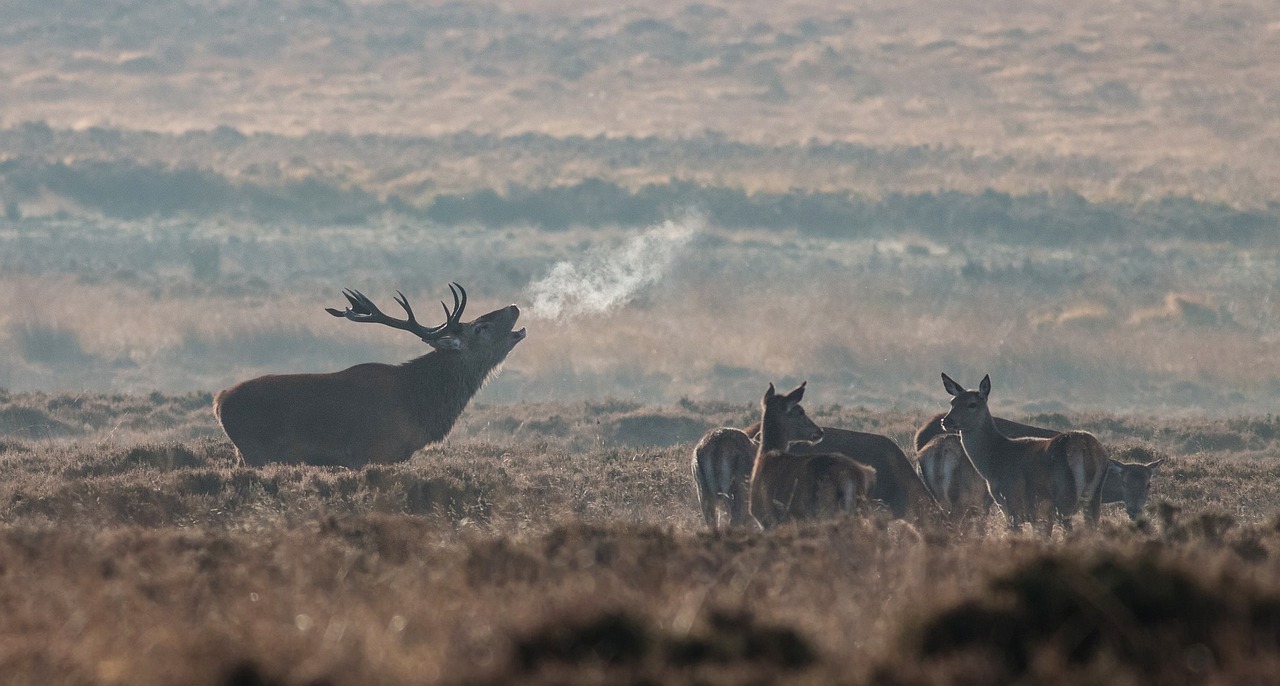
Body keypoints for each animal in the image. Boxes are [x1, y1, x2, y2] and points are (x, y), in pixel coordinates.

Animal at [215, 282, 524, 465]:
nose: (514, 306)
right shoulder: (373, 452)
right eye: (480, 327)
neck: (417, 407)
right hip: (255, 451)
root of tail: (219, 401)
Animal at [747, 383, 875, 532]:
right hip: (861, 511)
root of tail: (848, 475)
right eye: (800, 412)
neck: (764, 456)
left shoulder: (766, 520)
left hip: (824, 512)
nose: (820, 431)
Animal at [936, 376, 1105, 529]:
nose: (946, 421)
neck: (992, 465)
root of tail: (1085, 448)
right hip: (1094, 499)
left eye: (972, 404)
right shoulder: (1037, 515)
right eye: (952, 402)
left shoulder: (1012, 506)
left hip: (1065, 498)